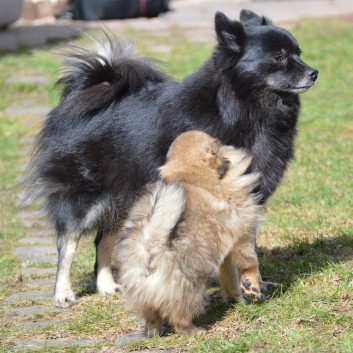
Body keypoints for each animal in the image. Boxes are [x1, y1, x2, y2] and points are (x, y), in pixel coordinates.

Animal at [25, 7, 316, 306]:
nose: (313, 72)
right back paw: (63, 293)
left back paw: (106, 286)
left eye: (298, 52)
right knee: (67, 243)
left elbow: (248, 246)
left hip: (124, 198)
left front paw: (254, 284)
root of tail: (80, 94)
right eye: (278, 57)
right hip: (84, 198)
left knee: (102, 241)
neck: (240, 107)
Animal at [114, 130, 262, 336]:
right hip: (190, 286)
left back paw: (154, 332)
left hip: (142, 290)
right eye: (217, 145)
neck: (194, 176)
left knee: (152, 316)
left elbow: (230, 278)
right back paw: (194, 330)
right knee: (179, 316)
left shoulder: (223, 254)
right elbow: (249, 264)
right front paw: (251, 287)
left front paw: (237, 300)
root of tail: (150, 243)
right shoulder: (242, 237)